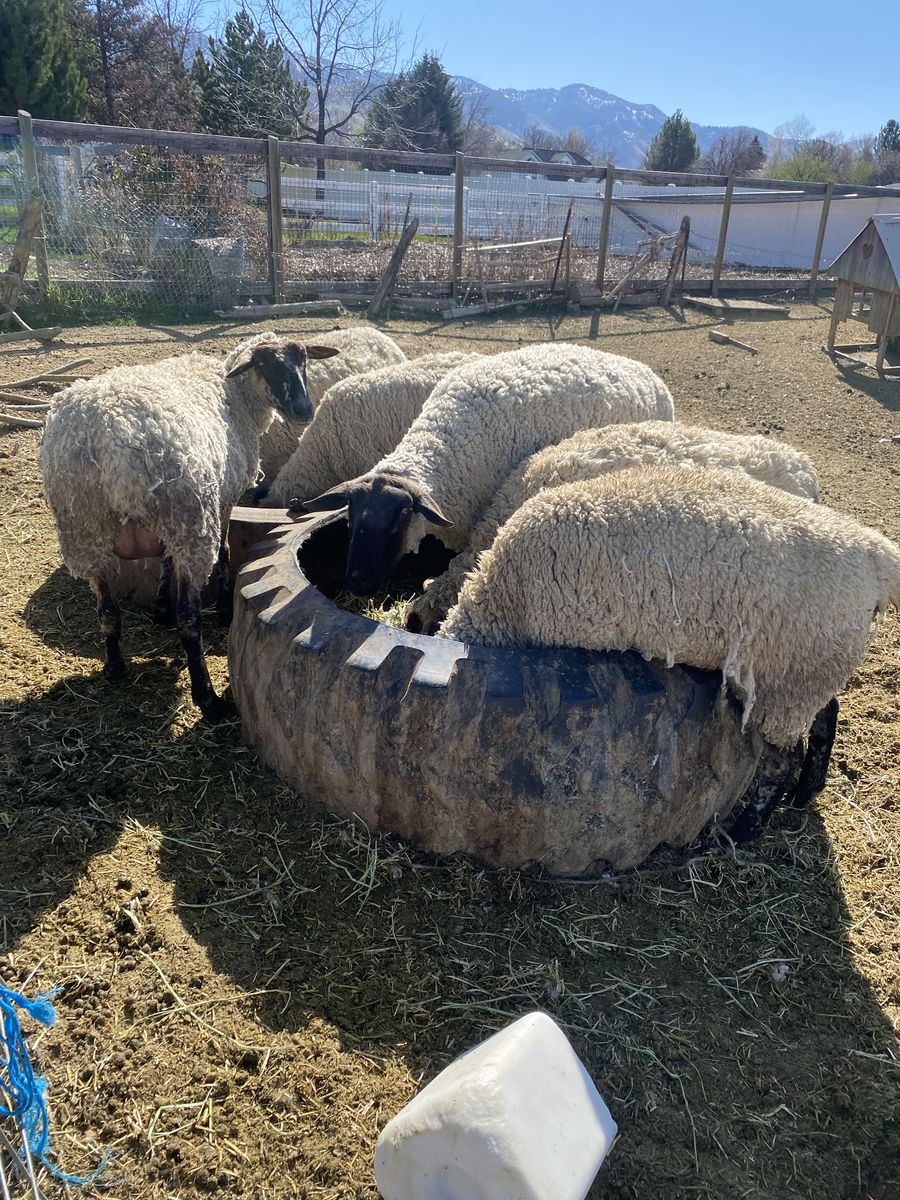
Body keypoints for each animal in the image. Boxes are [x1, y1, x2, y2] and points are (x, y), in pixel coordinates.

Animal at [39, 332, 339, 720]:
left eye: (302, 360)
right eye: (264, 364)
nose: (303, 410)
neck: (237, 397)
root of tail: (107, 440)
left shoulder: (165, 528)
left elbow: (163, 562)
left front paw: (160, 610)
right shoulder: (222, 500)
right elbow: (225, 552)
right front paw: (223, 611)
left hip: (89, 529)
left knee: (106, 612)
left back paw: (115, 667)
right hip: (189, 521)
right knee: (189, 619)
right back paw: (207, 696)